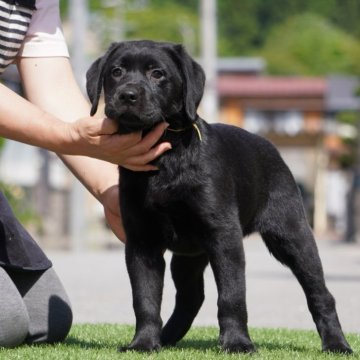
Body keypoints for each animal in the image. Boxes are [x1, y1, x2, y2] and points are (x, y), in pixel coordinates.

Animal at [86, 40, 352, 352]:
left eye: (158, 74)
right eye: (116, 71)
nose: (127, 95)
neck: (167, 156)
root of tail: (270, 146)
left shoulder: (224, 235)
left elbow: (232, 295)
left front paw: (237, 342)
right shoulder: (142, 240)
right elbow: (145, 297)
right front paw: (143, 342)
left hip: (292, 235)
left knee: (320, 293)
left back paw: (336, 343)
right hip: (188, 254)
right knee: (190, 297)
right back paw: (167, 337)